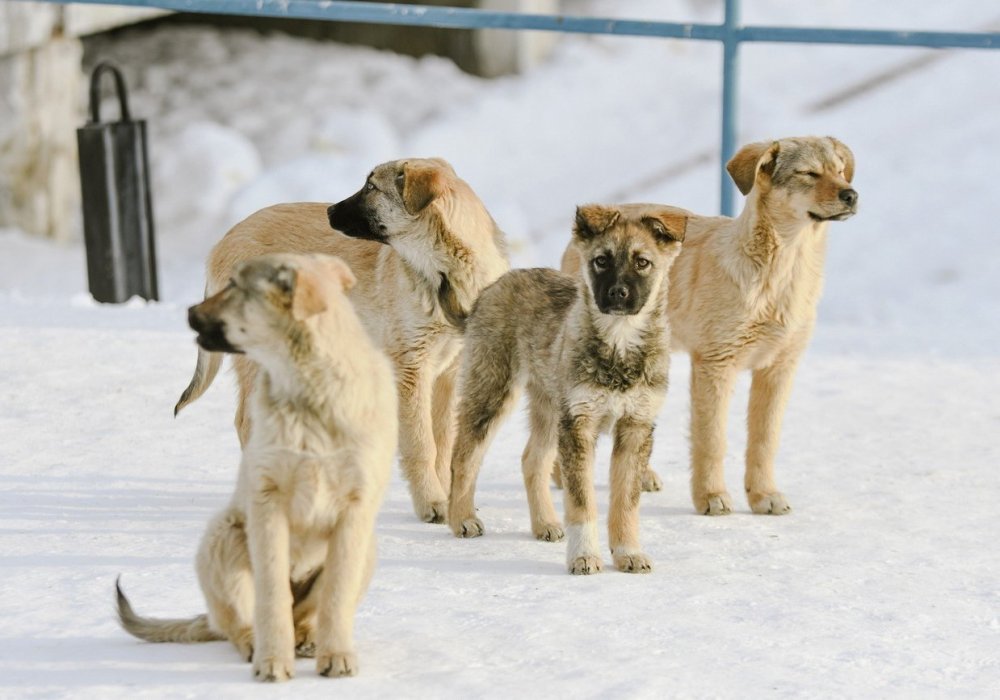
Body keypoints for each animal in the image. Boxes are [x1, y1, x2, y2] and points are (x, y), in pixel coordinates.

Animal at [115, 253, 396, 684]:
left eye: (235, 286)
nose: (188, 311)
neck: (310, 391)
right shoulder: (268, 503)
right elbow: (271, 597)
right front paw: (273, 662)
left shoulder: (355, 510)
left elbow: (336, 595)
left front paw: (336, 656)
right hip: (225, 537)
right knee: (239, 621)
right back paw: (256, 644)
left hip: (368, 548)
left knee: (306, 613)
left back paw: (308, 639)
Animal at [448, 202, 688, 576]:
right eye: (601, 260)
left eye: (642, 262)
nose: (617, 294)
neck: (619, 342)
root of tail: (487, 292)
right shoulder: (579, 425)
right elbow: (582, 502)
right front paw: (584, 556)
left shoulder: (635, 427)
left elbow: (625, 501)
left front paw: (628, 552)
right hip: (493, 391)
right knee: (463, 456)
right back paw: (461, 519)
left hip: (549, 406)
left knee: (532, 460)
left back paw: (544, 523)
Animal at [564, 134, 860, 516]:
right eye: (808, 173)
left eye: (840, 171)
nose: (851, 195)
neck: (780, 275)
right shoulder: (715, 364)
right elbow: (712, 439)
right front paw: (711, 496)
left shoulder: (779, 367)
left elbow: (765, 439)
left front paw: (763, 495)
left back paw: (642, 476)